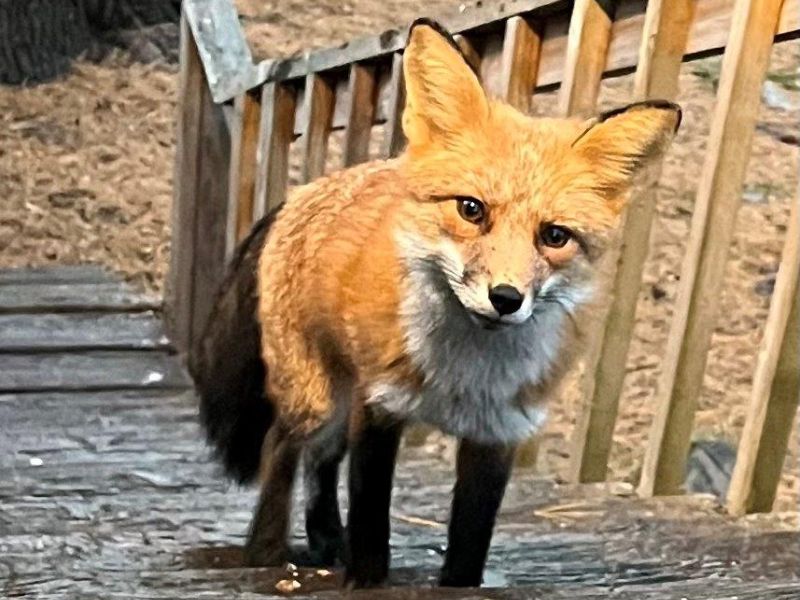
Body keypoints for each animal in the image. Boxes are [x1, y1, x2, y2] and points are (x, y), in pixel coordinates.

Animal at [190, 18, 681, 589]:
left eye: (554, 236)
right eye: (471, 210)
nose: (505, 298)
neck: (464, 377)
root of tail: (305, 191)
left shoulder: (500, 432)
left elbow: (470, 540)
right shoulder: (380, 405)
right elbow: (371, 519)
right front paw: (364, 579)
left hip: (338, 403)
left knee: (322, 464)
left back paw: (325, 539)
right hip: (317, 397)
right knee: (285, 449)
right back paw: (266, 548)